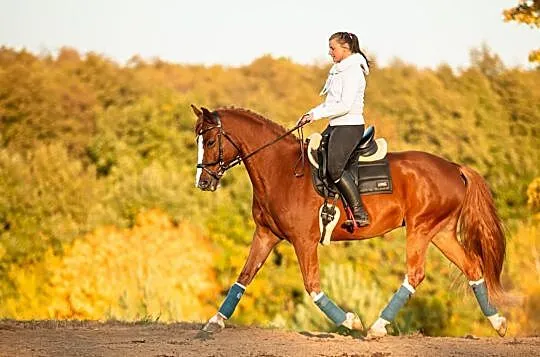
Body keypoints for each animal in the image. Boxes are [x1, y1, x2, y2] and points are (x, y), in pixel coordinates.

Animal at [192, 105, 508, 336]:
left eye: (210, 141)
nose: (203, 182)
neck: (281, 170)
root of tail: (454, 167)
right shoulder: (266, 235)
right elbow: (244, 276)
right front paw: (215, 321)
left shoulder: (304, 241)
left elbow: (312, 286)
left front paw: (351, 320)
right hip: (440, 233)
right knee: (472, 266)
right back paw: (498, 323)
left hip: (420, 229)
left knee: (416, 274)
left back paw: (377, 327)